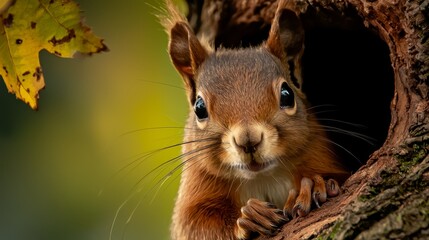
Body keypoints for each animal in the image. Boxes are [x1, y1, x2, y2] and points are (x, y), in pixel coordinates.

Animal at [160, 0, 348, 239]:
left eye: (287, 94)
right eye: (199, 108)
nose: (248, 141)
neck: (263, 177)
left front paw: (314, 186)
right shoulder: (197, 184)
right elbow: (195, 225)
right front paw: (250, 217)